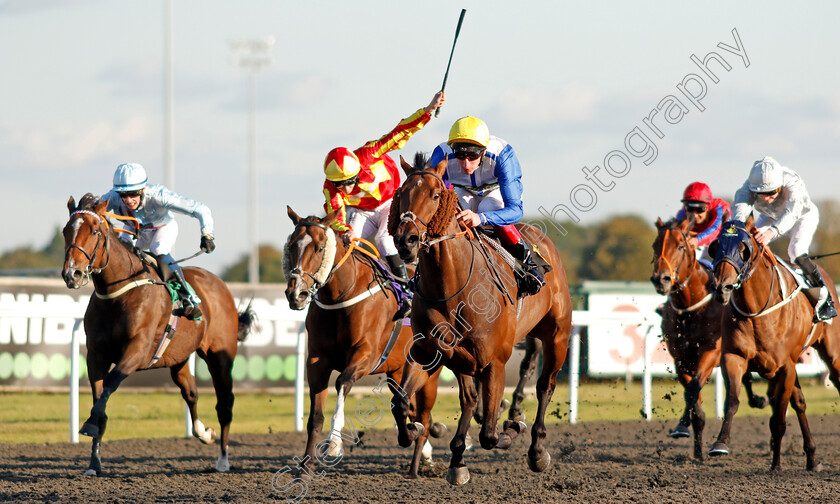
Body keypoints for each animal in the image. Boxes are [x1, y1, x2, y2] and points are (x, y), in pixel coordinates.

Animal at [61, 194, 254, 476]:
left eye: (95, 231)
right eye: (66, 230)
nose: (71, 273)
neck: (118, 294)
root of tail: (219, 284)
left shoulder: (138, 351)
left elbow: (110, 383)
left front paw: (89, 425)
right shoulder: (96, 355)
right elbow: (100, 398)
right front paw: (94, 463)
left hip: (220, 356)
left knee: (225, 403)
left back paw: (223, 460)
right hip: (179, 358)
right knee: (191, 393)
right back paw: (203, 433)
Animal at [284, 207, 446, 478]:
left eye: (319, 247)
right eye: (291, 246)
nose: (296, 294)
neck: (342, 295)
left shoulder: (366, 355)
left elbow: (342, 382)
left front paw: (334, 444)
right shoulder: (317, 360)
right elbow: (315, 416)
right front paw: (306, 466)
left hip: (429, 371)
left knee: (422, 412)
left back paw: (416, 466)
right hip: (397, 371)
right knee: (410, 409)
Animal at [386, 154, 572, 484]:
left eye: (436, 194)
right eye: (401, 193)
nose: (406, 240)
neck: (451, 285)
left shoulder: (495, 361)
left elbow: (490, 434)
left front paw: (511, 427)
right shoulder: (428, 353)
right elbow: (401, 402)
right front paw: (416, 430)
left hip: (557, 337)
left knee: (544, 386)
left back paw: (535, 448)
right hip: (463, 359)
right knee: (470, 399)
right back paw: (459, 458)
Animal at [648, 215, 768, 458]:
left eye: (681, 246)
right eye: (655, 246)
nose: (660, 279)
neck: (691, 307)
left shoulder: (711, 352)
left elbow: (694, 389)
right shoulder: (681, 358)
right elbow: (692, 395)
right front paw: (691, 440)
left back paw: (758, 400)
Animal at [708, 216, 840, 468]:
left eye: (744, 249)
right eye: (715, 247)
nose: (722, 287)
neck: (757, 310)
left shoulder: (785, 367)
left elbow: (778, 418)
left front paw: (776, 465)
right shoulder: (734, 357)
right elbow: (733, 400)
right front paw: (720, 443)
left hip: (832, 353)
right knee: (800, 403)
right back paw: (812, 457)